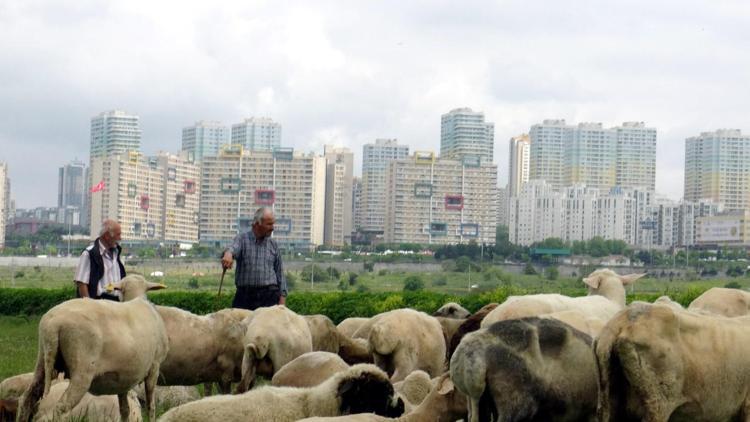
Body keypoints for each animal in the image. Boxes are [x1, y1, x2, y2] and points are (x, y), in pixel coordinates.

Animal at [16, 274, 170, 422]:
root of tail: (53, 324)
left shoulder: (123, 379)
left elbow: (125, 409)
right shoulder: (154, 366)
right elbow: (151, 406)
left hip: (42, 359)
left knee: (26, 399)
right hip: (82, 370)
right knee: (59, 409)